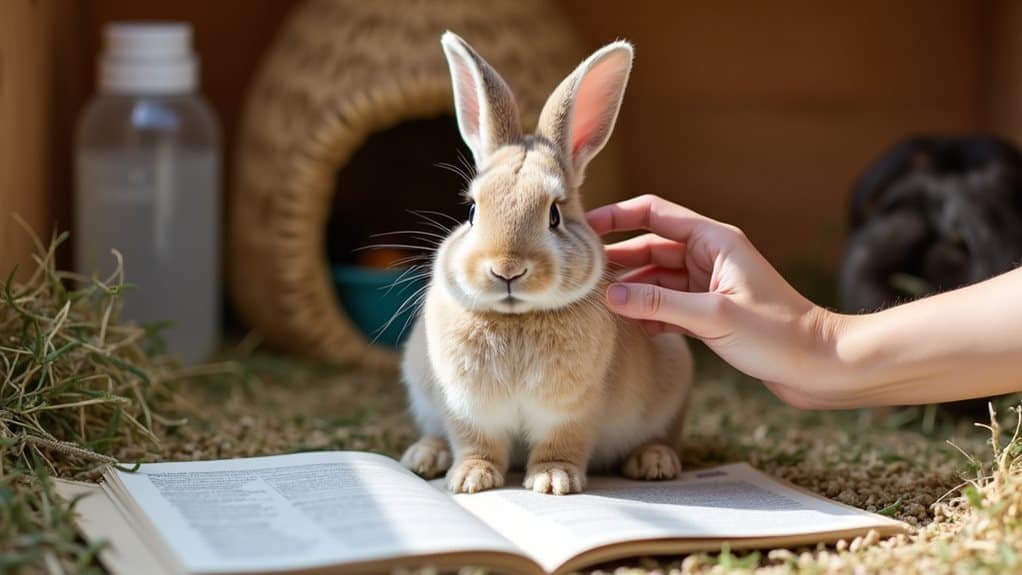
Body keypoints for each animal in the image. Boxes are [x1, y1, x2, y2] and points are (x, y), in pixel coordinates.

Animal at [397, 32, 693, 496]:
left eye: (554, 214)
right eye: (472, 211)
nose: (506, 269)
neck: (516, 318)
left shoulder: (573, 411)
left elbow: (562, 443)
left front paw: (552, 481)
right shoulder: (466, 410)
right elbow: (475, 442)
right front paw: (469, 479)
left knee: (664, 435)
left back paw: (654, 462)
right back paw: (425, 456)